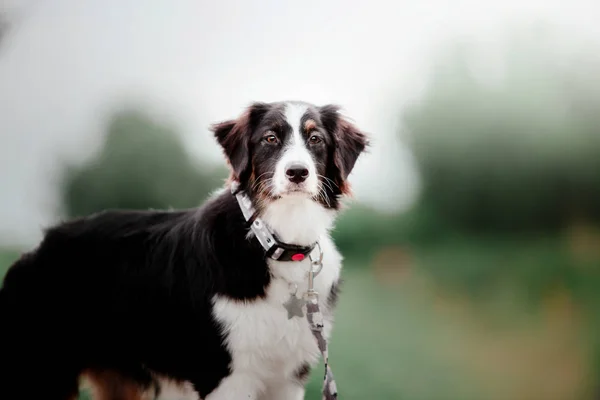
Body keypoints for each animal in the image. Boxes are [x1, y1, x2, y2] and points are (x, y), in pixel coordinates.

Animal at [0, 101, 370, 400]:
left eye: (315, 139)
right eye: (270, 139)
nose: (297, 172)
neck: (272, 242)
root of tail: (38, 247)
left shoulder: (288, 378)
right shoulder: (223, 375)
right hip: (41, 373)